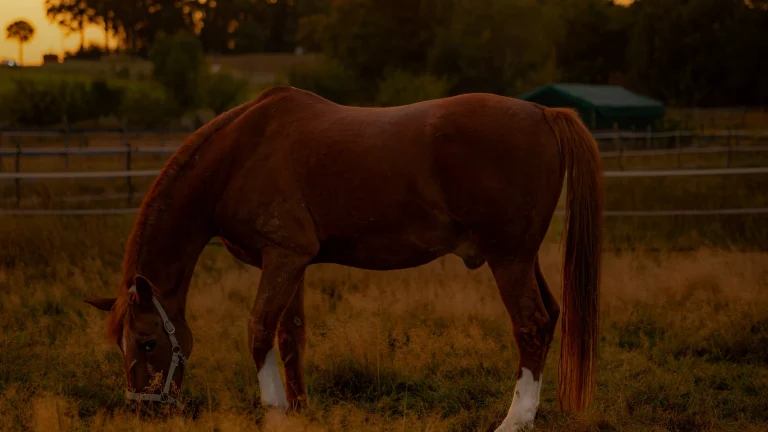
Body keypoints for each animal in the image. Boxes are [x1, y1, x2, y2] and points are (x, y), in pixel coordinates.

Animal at [84, 85, 603, 432]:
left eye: (148, 342)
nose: (142, 408)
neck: (239, 155)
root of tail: (544, 112)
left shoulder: (283, 258)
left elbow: (258, 331)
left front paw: (275, 411)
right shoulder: (291, 263)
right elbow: (290, 336)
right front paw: (298, 410)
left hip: (508, 259)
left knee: (531, 325)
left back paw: (515, 420)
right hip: (522, 258)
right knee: (550, 316)